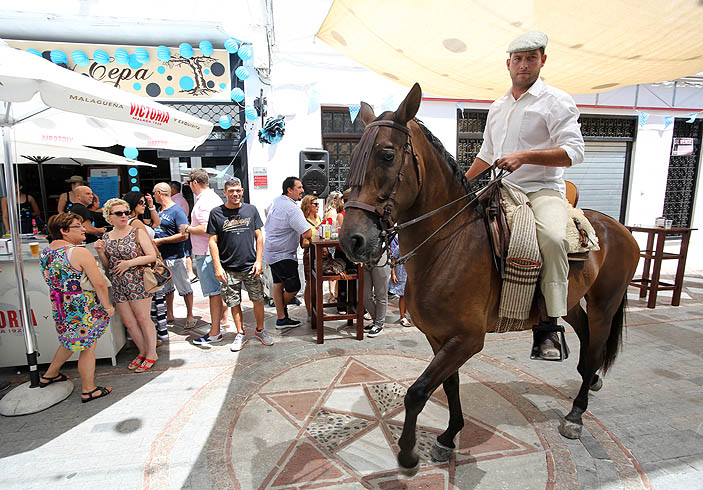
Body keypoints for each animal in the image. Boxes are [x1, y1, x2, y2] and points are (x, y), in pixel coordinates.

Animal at [340, 82, 644, 472]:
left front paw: (408, 452)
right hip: (573, 299)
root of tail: (619, 228)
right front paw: (448, 436)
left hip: (605, 304)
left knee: (594, 350)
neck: (448, 245)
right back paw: (581, 375)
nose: (352, 240)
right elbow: (448, 386)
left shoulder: (467, 339)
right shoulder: (441, 337)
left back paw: (576, 414)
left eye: (388, 155)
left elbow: (418, 392)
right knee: (584, 339)